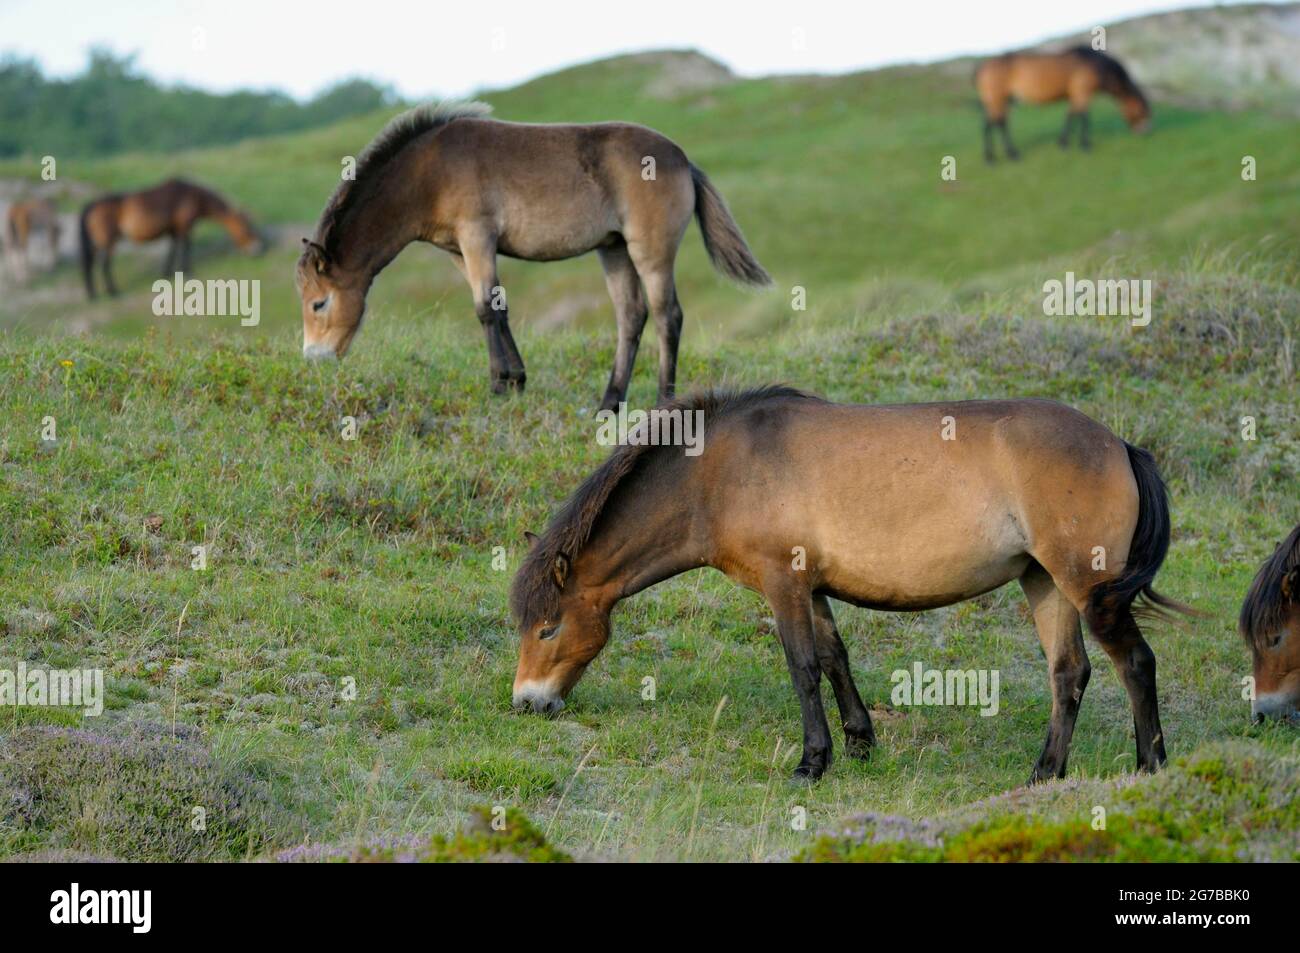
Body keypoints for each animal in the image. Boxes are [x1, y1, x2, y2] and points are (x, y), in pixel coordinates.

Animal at [295, 102, 769, 410]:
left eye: (319, 303)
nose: (314, 359)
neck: (429, 172)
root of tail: (684, 161)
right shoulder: (459, 250)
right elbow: (498, 305)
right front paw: (516, 379)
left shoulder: (477, 237)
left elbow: (485, 309)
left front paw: (497, 386)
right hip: (614, 250)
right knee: (631, 316)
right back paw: (609, 403)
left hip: (649, 252)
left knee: (668, 316)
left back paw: (662, 403)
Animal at [506, 387, 1190, 780]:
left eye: (547, 627)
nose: (525, 704)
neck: (717, 472)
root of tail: (1119, 445)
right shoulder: (811, 589)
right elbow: (835, 658)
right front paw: (860, 744)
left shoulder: (783, 584)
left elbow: (803, 667)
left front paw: (813, 761)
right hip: (1044, 582)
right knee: (1069, 674)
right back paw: (1045, 773)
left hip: (1086, 585)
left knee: (1135, 662)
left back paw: (1149, 766)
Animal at [977, 46, 1149, 159]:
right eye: (1142, 111)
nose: (1144, 132)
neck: (1093, 63)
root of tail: (983, 67)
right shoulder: (1082, 92)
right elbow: (1084, 117)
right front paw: (1085, 145)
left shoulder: (1075, 94)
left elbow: (1071, 116)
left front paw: (1063, 143)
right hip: (997, 99)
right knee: (998, 123)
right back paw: (1007, 155)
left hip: (1001, 100)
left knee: (993, 123)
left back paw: (992, 156)